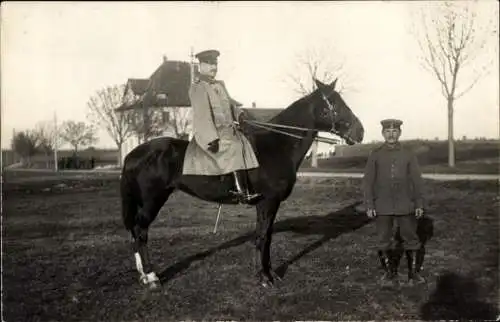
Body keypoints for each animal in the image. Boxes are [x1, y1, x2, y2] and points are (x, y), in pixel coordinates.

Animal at [120, 77, 364, 290]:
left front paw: (269, 273)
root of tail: (133, 154)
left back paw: (143, 274)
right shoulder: (268, 202)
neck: (277, 145)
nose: (360, 131)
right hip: (153, 201)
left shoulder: (266, 204)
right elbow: (263, 237)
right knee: (140, 231)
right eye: (334, 103)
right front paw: (264, 277)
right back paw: (151, 277)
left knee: (135, 231)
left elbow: (266, 236)